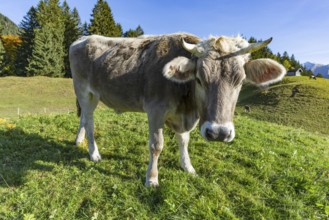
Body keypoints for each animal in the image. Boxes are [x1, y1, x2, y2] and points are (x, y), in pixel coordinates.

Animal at [69, 33, 284, 187]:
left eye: (240, 81)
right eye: (199, 79)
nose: (218, 133)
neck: (187, 105)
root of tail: (83, 38)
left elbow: (184, 140)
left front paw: (187, 166)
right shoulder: (155, 111)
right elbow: (156, 146)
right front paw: (152, 178)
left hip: (93, 95)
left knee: (84, 118)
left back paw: (79, 140)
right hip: (83, 89)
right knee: (89, 120)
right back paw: (93, 153)